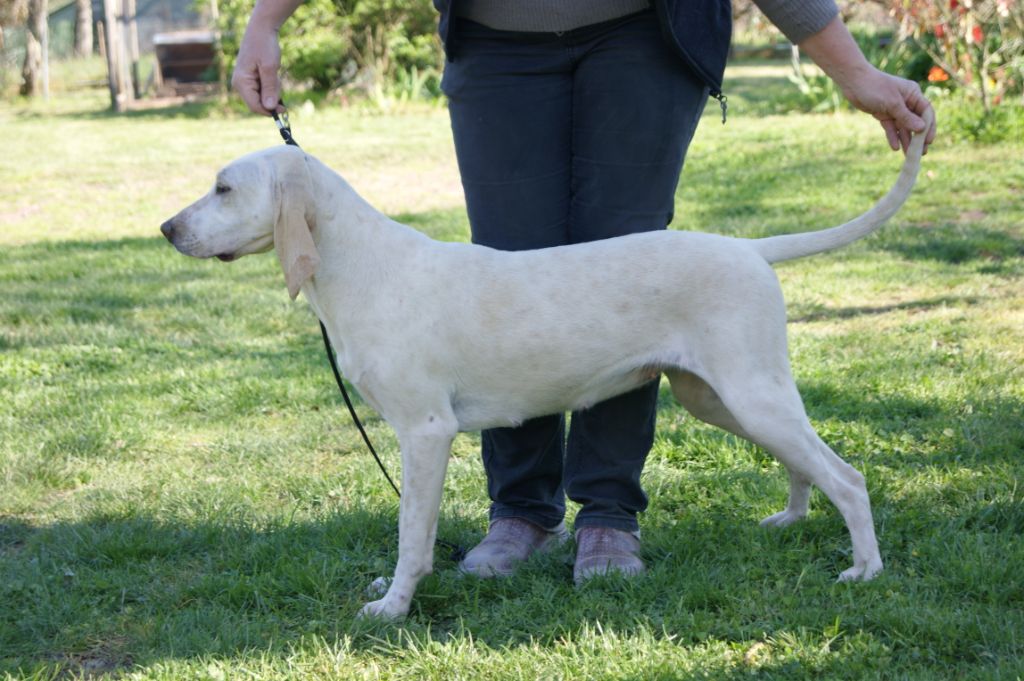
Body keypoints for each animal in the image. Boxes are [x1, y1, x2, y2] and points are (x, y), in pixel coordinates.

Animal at [157, 112, 929, 622]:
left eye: (224, 188)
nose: (166, 228)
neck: (364, 268)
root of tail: (751, 248)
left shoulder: (425, 433)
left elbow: (413, 536)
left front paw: (394, 606)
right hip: (722, 398)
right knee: (805, 464)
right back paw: (793, 520)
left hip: (751, 394)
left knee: (849, 478)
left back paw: (865, 569)